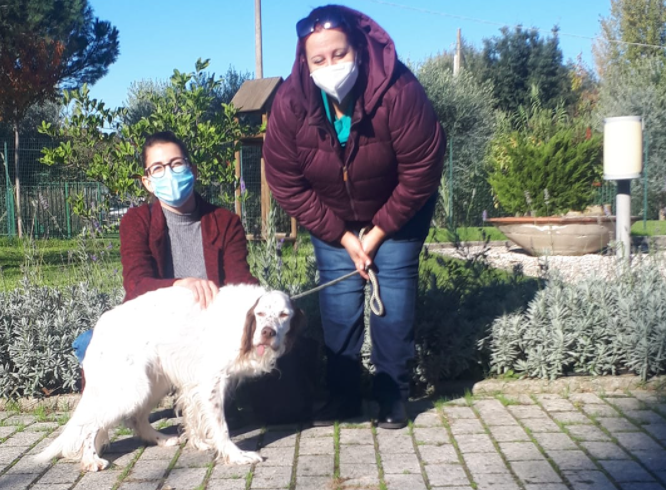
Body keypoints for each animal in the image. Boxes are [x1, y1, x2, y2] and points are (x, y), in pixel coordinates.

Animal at [37, 284, 302, 470]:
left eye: (284, 315)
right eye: (260, 313)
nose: (268, 333)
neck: (242, 319)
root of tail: (100, 328)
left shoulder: (194, 384)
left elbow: (195, 417)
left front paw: (199, 442)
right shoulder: (211, 382)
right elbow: (221, 427)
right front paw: (236, 455)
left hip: (152, 384)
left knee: (136, 419)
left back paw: (162, 439)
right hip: (130, 390)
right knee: (90, 425)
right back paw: (92, 460)